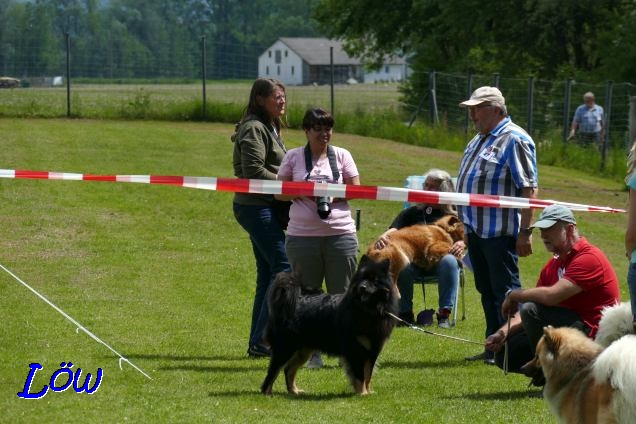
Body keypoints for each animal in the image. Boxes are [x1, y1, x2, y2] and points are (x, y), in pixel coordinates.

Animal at [260, 253, 396, 396]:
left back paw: (294, 391)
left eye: (374, 280)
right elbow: (360, 375)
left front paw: (368, 392)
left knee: (288, 369)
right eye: (361, 279)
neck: (368, 310)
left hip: (303, 350)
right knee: (273, 371)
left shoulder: (373, 351)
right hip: (285, 347)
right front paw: (362, 393)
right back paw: (267, 393)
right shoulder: (355, 350)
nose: (362, 287)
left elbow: (368, 375)